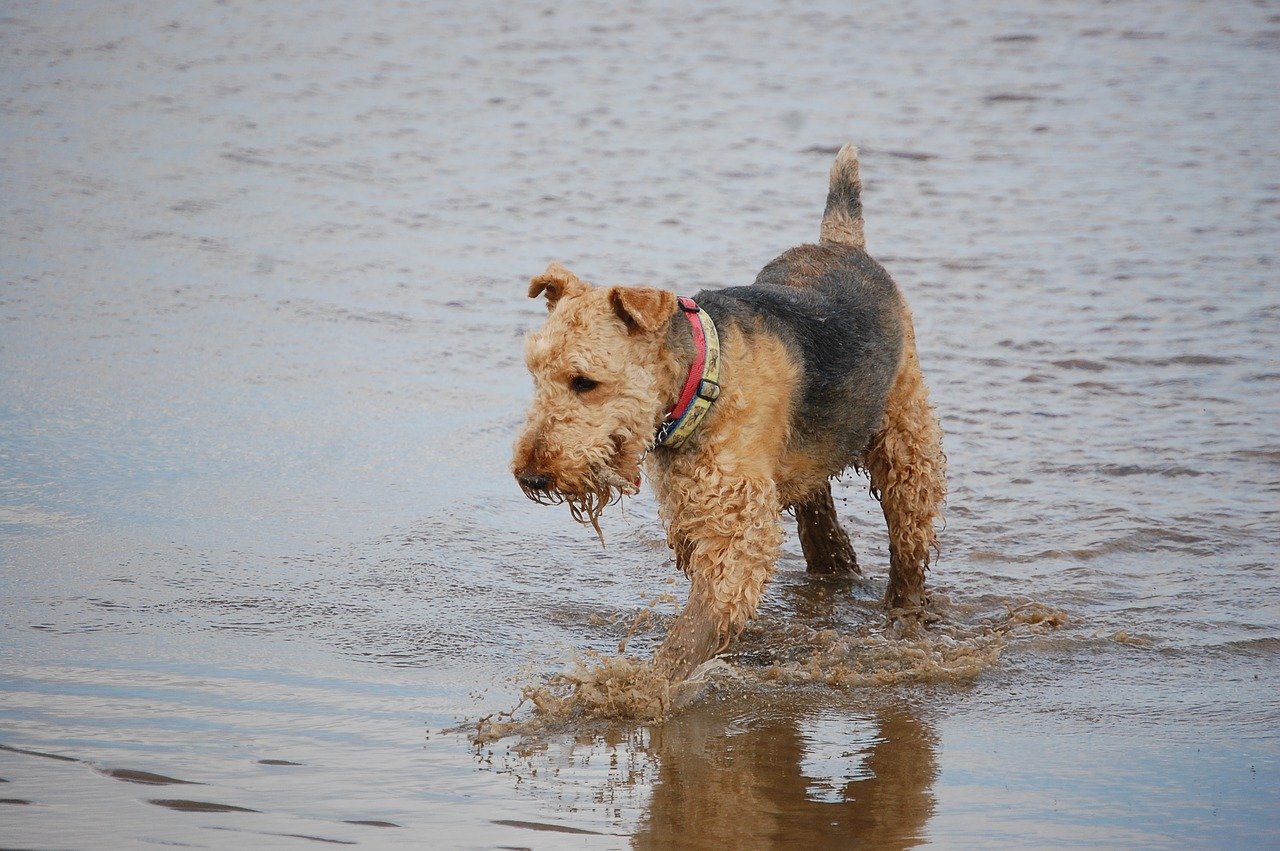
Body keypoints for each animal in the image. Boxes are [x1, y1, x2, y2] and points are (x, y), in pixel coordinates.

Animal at [506, 144, 942, 675]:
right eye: (535, 373)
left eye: (584, 381)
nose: (531, 476)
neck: (700, 382)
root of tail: (843, 244)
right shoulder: (694, 515)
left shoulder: (736, 524)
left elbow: (694, 629)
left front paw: (646, 686)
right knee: (821, 519)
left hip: (906, 441)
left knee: (908, 546)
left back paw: (904, 617)